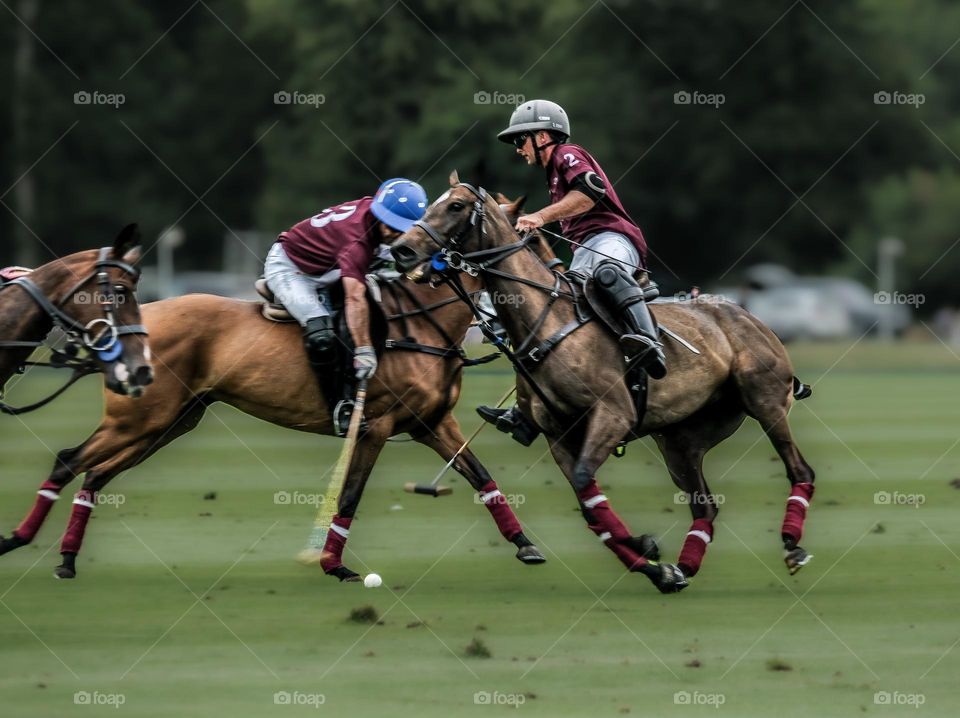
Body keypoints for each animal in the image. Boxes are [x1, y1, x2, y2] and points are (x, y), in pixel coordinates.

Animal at [0, 200, 556, 584]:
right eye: (529, 247)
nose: (555, 288)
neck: (421, 320)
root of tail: (130, 328)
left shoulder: (433, 423)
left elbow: (482, 476)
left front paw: (525, 545)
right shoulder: (374, 425)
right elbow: (350, 493)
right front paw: (334, 565)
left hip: (170, 421)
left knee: (96, 473)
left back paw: (67, 558)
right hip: (138, 420)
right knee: (70, 460)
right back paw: (21, 540)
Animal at [390, 176, 816, 596]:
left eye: (456, 206)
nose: (402, 250)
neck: (546, 322)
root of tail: (750, 316)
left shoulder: (613, 414)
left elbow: (586, 488)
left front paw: (646, 549)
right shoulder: (559, 434)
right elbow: (588, 504)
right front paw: (654, 564)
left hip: (766, 403)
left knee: (801, 470)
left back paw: (792, 547)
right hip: (682, 440)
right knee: (704, 505)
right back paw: (682, 568)